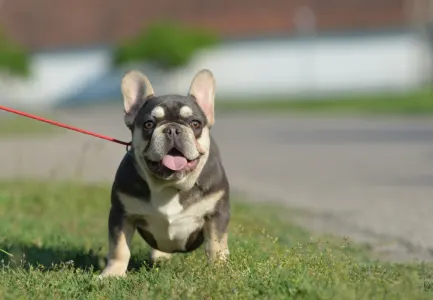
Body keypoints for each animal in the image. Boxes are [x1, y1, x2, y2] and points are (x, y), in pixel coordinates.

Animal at [100, 69, 231, 278]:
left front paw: (218, 271)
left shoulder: (216, 214)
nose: (172, 129)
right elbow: (119, 247)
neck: (169, 186)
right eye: (148, 124)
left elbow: (215, 245)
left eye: (195, 123)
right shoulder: (121, 214)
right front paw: (112, 274)